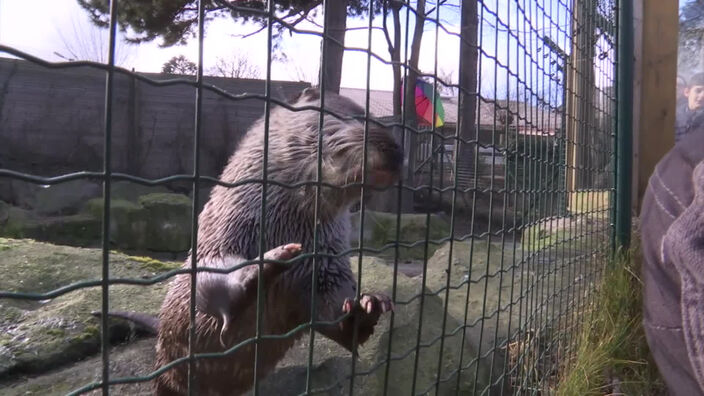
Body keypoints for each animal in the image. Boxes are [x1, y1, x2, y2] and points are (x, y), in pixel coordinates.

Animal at [104, 88, 402, 394]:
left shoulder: (327, 260)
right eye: (354, 117)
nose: (397, 151)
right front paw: (269, 262)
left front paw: (367, 306)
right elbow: (212, 282)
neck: (284, 220)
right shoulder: (221, 236)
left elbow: (334, 306)